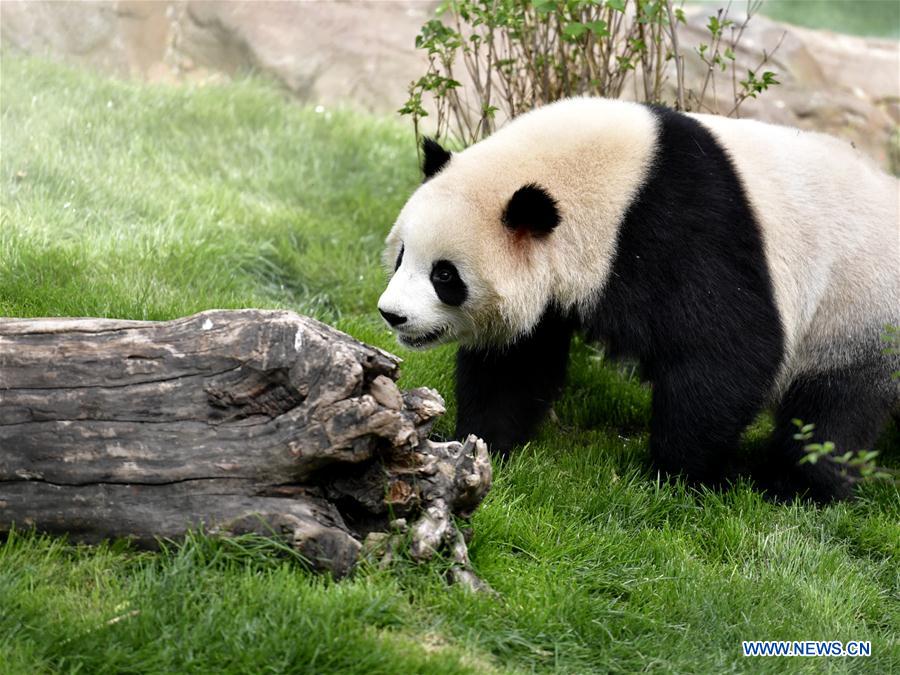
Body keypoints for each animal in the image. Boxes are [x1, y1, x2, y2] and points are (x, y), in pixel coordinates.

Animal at [377, 97, 900, 502]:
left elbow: (727, 352)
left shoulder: (682, 230)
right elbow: (516, 362)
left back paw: (794, 486)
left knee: (832, 414)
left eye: (445, 275)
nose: (392, 315)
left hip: (858, 310)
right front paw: (481, 441)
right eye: (402, 255)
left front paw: (680, 476)